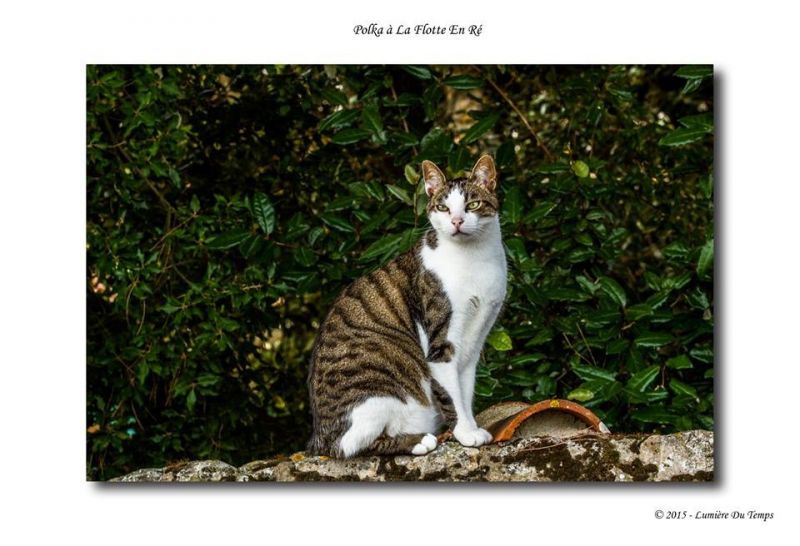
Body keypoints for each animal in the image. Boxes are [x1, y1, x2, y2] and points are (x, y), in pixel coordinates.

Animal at [306, 153, 506, 454]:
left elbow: (466, 390)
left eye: (472, 204)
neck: (476, 258)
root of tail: (320, 436)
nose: (457, 221)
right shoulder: (441, 343)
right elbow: (452, 395)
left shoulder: (474, 340)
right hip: (375, 389)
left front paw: (471, 427)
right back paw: (419, 440)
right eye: (443, 207)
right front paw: (464, 432)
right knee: (352, 444)